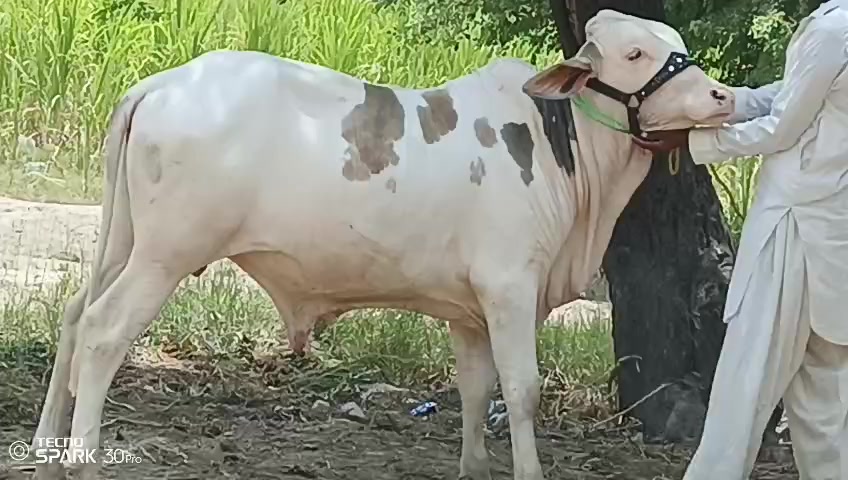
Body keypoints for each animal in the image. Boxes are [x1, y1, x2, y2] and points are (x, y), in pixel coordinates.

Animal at [32, 9, 734, 480]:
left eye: (677, 45)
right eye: (636, 54)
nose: (722, 96)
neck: (556, 140)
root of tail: (164, 83)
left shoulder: (469, 309)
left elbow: (476, 389)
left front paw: (474, 467)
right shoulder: (510, 287)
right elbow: (521, 390)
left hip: (126, 241)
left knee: (74, 316)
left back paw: (47, 450)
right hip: (165, 254)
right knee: (102, 330)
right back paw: (84, 459)